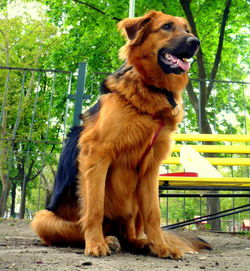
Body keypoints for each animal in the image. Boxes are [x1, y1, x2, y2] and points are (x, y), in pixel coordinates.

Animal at [31, 10, 211, 260]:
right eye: (166, 26)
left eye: (186, 29)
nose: (196, 42)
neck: (151, 91)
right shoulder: (96, 156)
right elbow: (94, 208)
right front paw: (95, 244)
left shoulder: (150, 169)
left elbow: (154, 213)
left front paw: (161, 246)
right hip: (41, 217)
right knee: (78, 229)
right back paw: (107, 239)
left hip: (134, 200)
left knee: (130, 234)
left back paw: (142, 243)